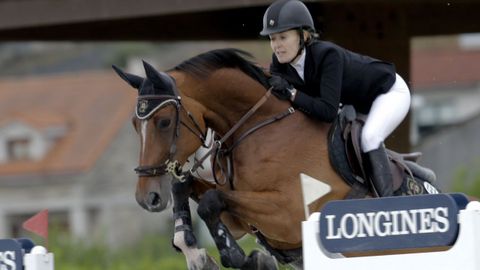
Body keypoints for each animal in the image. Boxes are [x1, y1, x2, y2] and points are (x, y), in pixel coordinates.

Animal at [111, 49, 438, 270]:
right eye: (134, 124)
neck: (259, 127)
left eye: (164, 122)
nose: (148, 198)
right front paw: (196, 254)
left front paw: (240, 257)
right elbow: (189, 190)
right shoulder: (242, 219)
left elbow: (211, 201)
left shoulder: (289, 214)